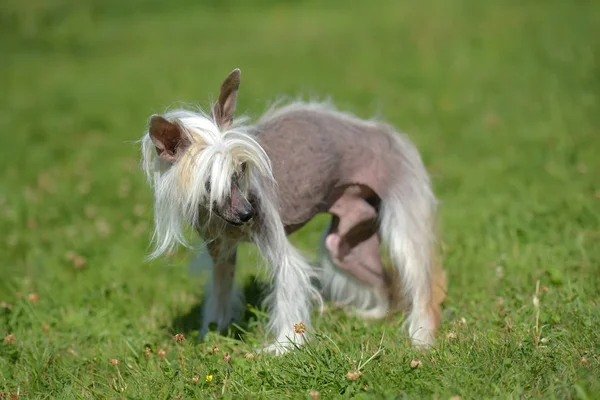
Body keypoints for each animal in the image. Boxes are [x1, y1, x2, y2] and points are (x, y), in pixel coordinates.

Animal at [141, 68, 446, 354]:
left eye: (241, 170)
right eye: (209, 183)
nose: (248, 214)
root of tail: (386, 132)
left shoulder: (277, 244)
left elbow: (289, 283)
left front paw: (283, 347)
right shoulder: (221, 254)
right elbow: (221, 291)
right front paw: (214, 331)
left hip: (403, 224)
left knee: (420, 285)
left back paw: (421, 339)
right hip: (345, 244)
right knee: (383, 281)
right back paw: (372, 313)